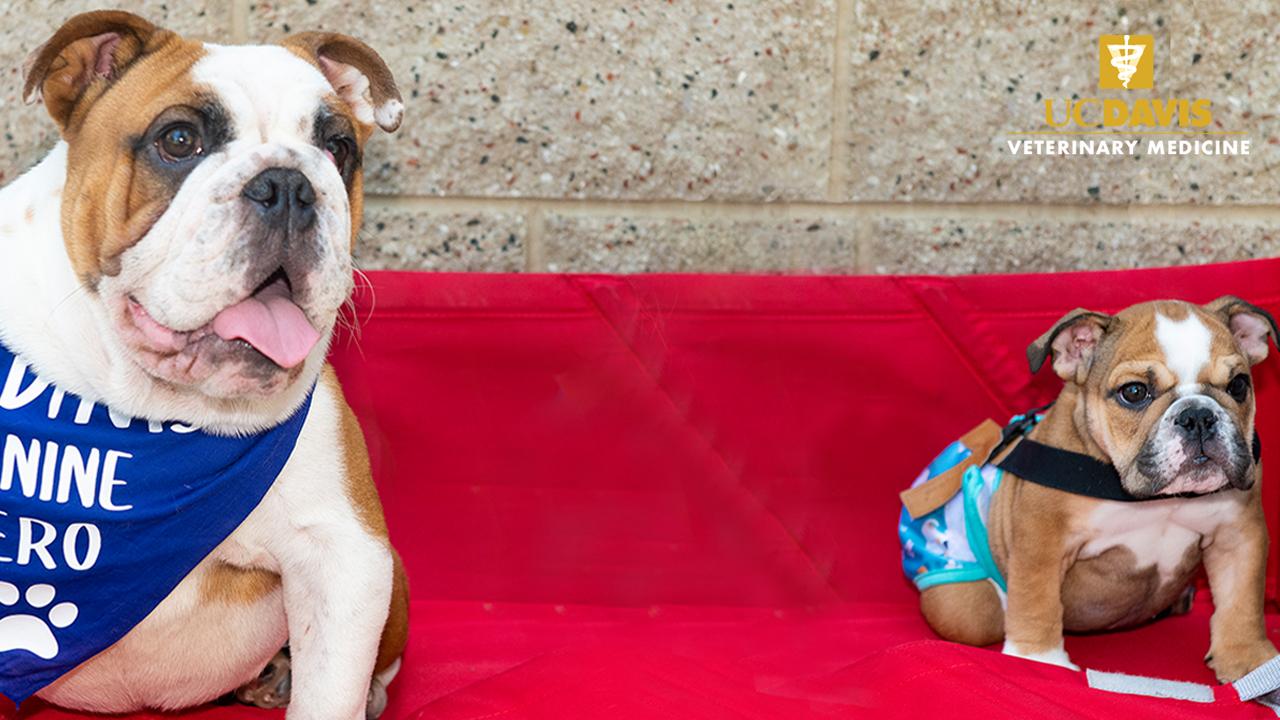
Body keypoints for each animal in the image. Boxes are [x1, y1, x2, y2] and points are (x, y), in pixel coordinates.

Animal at [0, 11, 407, 717]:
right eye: (179, 140)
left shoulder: (345, 556)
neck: (154, 415)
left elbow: (330, 692)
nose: (289, 184)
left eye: (337, 148)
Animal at [921, 295, 1280, 681]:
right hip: (963, 604)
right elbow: (1036, 598)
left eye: (1239, 385)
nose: (1197, 415)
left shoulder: (1237, 533)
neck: (1153, 497)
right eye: (1134, 392)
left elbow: (1241, 598)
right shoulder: (1041, 538)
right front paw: (1040, 660)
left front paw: (1248, 659)